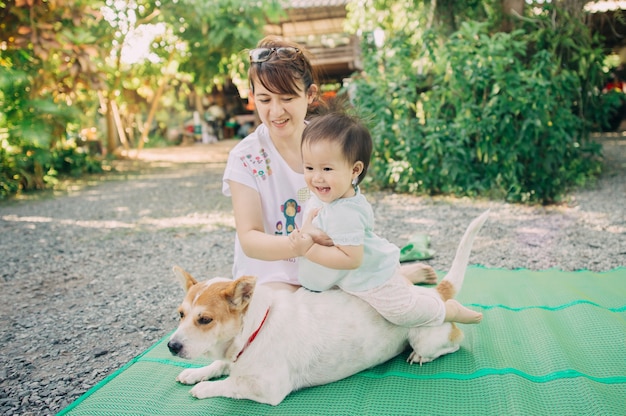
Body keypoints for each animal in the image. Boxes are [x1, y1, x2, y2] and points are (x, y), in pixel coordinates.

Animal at [167, 210, 488, 404]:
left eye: (205, 319)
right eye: (180, 315)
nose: (171, 346)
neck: (256, 328)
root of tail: (434, 295)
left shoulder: (268, 388)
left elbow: (230, 384)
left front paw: (203, 387)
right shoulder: (233, 357)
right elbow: (219, 365)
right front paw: (197, 372)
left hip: (426, 335)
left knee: (452, 342)